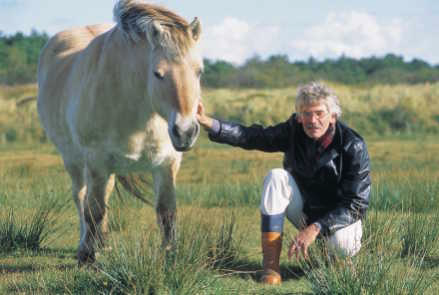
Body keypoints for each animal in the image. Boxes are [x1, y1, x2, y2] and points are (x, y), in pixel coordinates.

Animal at [37, 0, 204, 264]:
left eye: (199, 71)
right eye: (158, 73)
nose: (185, 131)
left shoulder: (167, 164)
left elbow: (166, 211)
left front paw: (169, 253)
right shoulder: (96, 162)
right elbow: (93, 209)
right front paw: (87, 257)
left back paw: (102, 244)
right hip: (74, 161)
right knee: (81, 198)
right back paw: (86, 245)